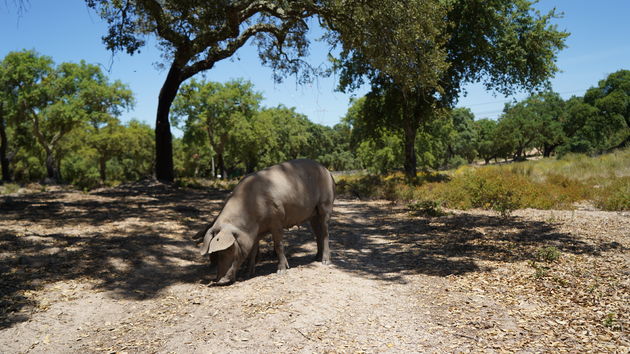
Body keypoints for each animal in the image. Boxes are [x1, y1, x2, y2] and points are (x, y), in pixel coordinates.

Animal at [199, 159, 336, 286]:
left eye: (227, 250)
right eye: (214, 254)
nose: (220, 281)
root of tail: (327, 171)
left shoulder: (277, 220)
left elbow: (278, 245)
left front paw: (281, 271)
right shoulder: (254, 232)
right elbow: (252, 250)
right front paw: (247, 274)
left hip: (326, 204)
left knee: (325, 233)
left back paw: (325, 261)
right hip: (313, 215)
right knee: (317, 233)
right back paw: (316, 258)